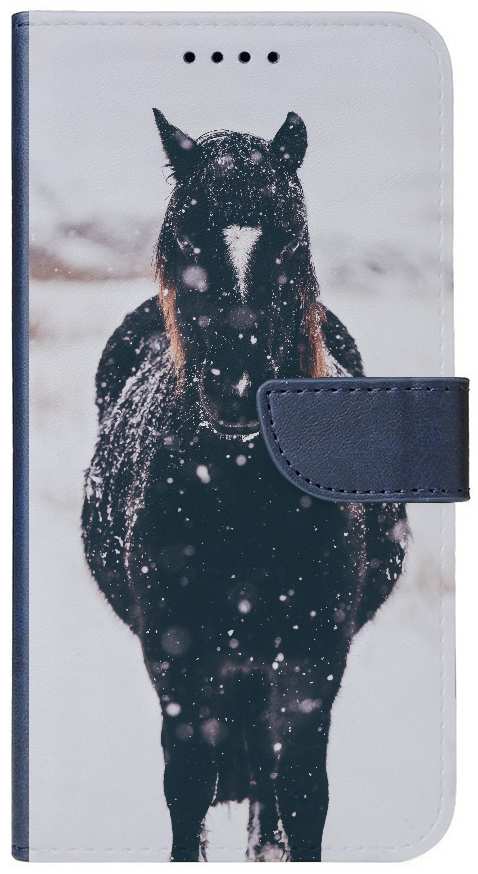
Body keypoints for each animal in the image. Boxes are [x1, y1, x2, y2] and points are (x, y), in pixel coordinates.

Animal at [82, 109, 407, 861]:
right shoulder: (177, 662)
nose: (237, 389)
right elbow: (188, 787)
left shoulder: (314, 660)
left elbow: (303, 792)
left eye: (288, 236)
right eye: (186, 233)